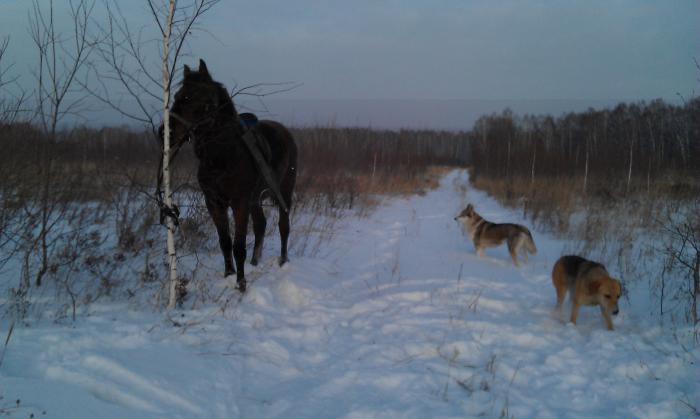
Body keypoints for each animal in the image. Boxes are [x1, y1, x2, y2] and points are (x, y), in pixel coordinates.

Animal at [168, 60, 296, 292]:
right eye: (177, 96)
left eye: (197, 98)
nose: (166, 133)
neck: (223, 155)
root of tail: (285, 132)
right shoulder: (214, 203)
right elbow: (225, 242)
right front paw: (229, 274)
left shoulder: (239, 203)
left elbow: (238, 245)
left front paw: (241, 283)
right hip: (255, 199)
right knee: (261, 225)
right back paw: (255, 262)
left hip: (283, 192)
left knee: (283, 226)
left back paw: (283, 260)